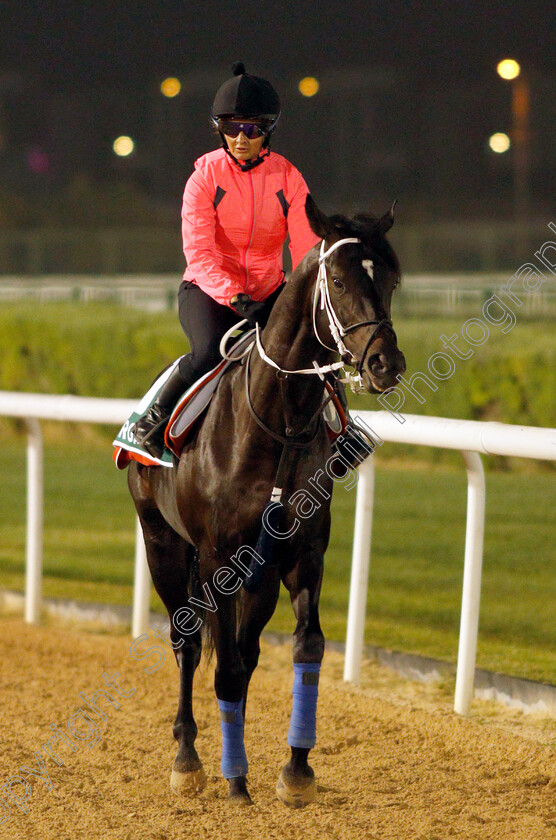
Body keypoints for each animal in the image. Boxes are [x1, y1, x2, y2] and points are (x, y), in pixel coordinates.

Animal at [128, 195, 406, 808]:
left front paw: (296, 770)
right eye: (340, 281)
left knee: (246, 650)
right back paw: (188, 758)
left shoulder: (301, 552)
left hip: (256, 574)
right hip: (163, 543)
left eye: (391, 280)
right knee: (187, 642)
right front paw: (234, 779)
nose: (385, 364)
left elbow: (306, 648)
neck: (276, 423)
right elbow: (223, 667)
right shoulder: (216, 556)